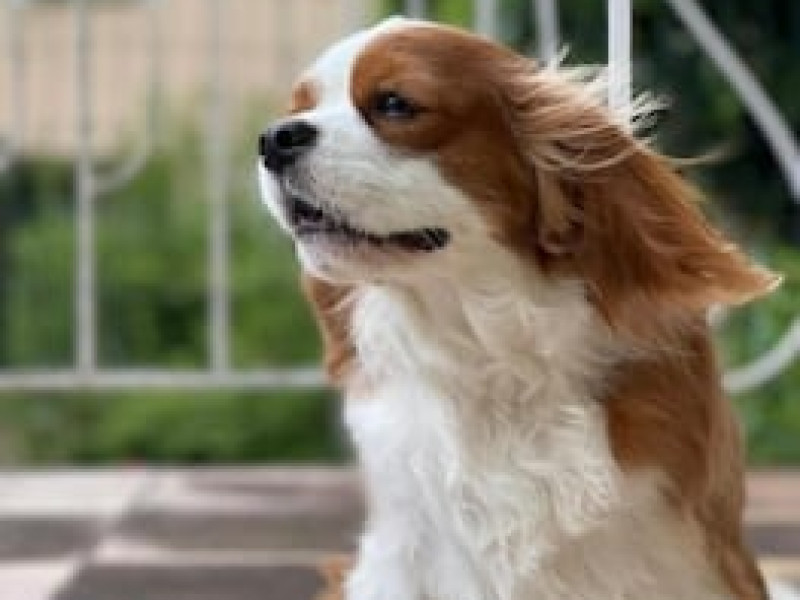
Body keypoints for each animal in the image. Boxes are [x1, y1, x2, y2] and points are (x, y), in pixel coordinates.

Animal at [258, 17, 777, 600]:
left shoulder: (679, 559)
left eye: (394, 103)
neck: (489, 353)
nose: (275, 137)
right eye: (299, 107)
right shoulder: (399, 556)